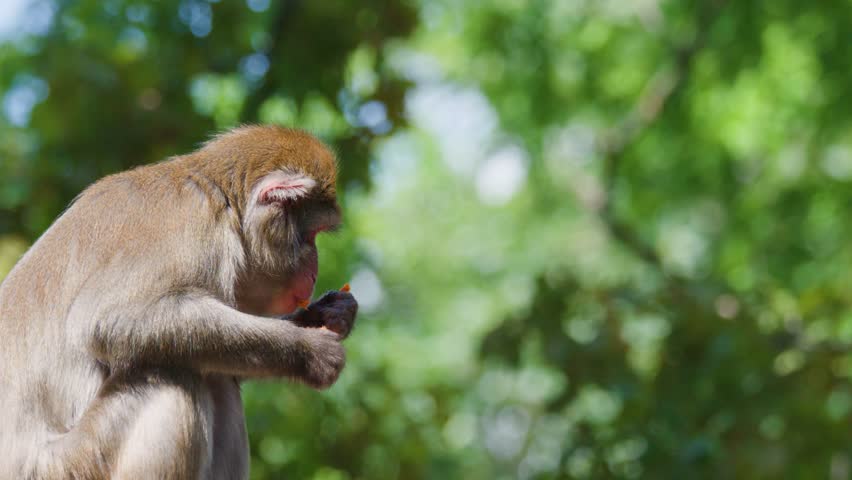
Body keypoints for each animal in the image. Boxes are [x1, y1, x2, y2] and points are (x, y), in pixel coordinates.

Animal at [0, 126, 358, 479]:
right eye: (312, 236)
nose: (314, 271)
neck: (225, 202)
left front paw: (328, 314)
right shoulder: (196, 223)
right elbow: (104, 319)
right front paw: (309, 349)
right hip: (73, 463)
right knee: (173, 378)